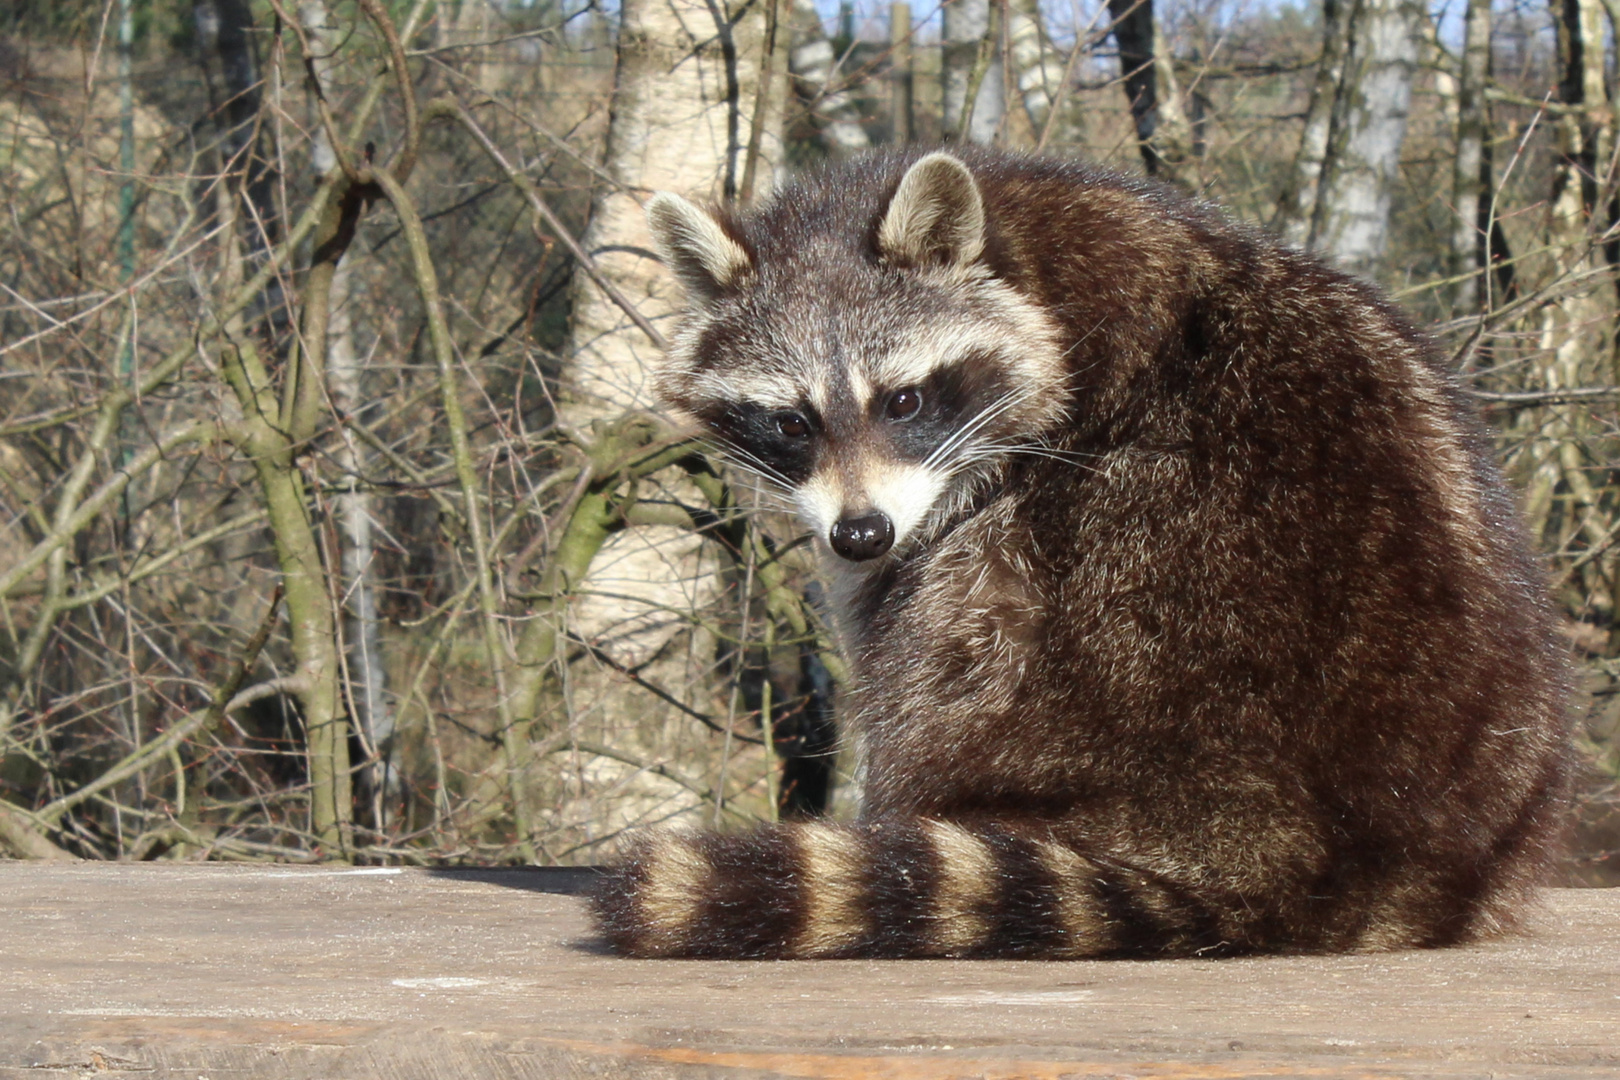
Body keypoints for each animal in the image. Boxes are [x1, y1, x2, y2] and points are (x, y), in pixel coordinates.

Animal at [592, 148, 1568, 958]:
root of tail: (1323, 857)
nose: (859, 534)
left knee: (962, 605)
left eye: (904, 401)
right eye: (791, 422)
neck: (1017, 243)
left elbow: (925, 583)